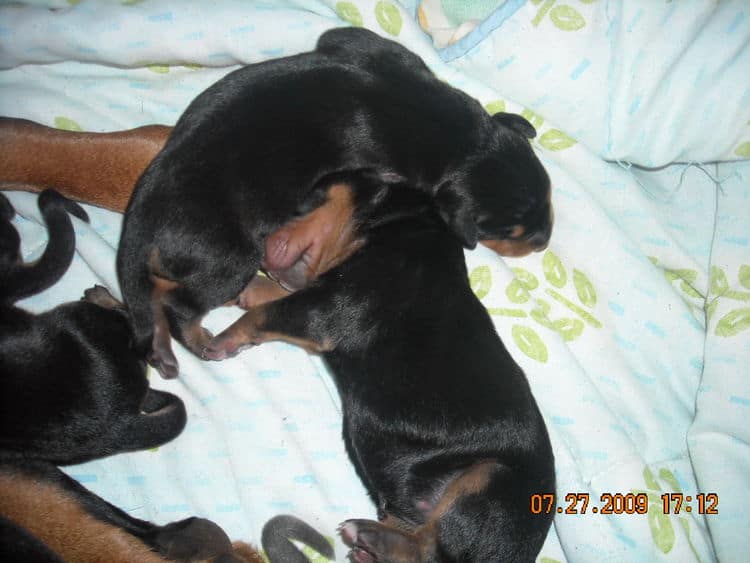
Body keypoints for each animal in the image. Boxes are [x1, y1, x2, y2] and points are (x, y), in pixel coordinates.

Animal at [117, 25, 552, 378]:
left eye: (548, 196)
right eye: (507, 231)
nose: (544, 242)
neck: (459, 136)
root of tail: (140, 221)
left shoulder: (368, 46)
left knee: (153, 298)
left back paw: (160, 345)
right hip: (228, 259)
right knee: (179, 305)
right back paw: (200, 338)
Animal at [206, 174, 560, 560]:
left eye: (308, 203)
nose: (264, 247)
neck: (395, 225)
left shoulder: (326, 308)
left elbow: (265, 313)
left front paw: (223, 339)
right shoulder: (322, 292)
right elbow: (275, 296)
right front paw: (247, 287)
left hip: (490, 483)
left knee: (429, 548)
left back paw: (367, 535)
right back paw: (369, 545)